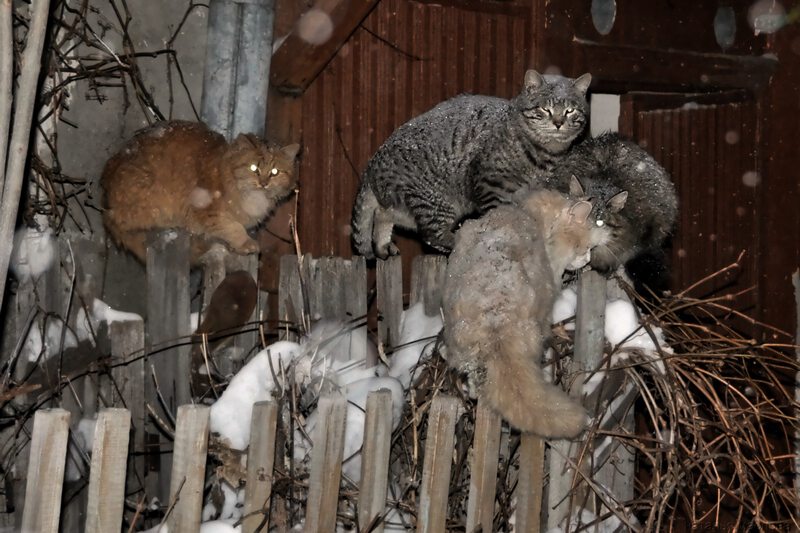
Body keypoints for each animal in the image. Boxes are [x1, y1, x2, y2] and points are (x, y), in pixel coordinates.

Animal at [101, 120, 300, 262]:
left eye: (275, 172)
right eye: (253, 168)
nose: (263, 183)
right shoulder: (207, 211)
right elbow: (233, 228)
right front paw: (246, 243)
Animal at [354, 68, 592, 260]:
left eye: (570, 110)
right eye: (545, 109)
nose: (558, 122)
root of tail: (371, 165)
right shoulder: (491, 184)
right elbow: (497, 217)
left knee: (383, 214)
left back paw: (383, 245)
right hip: (435, 201)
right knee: (431, 234)